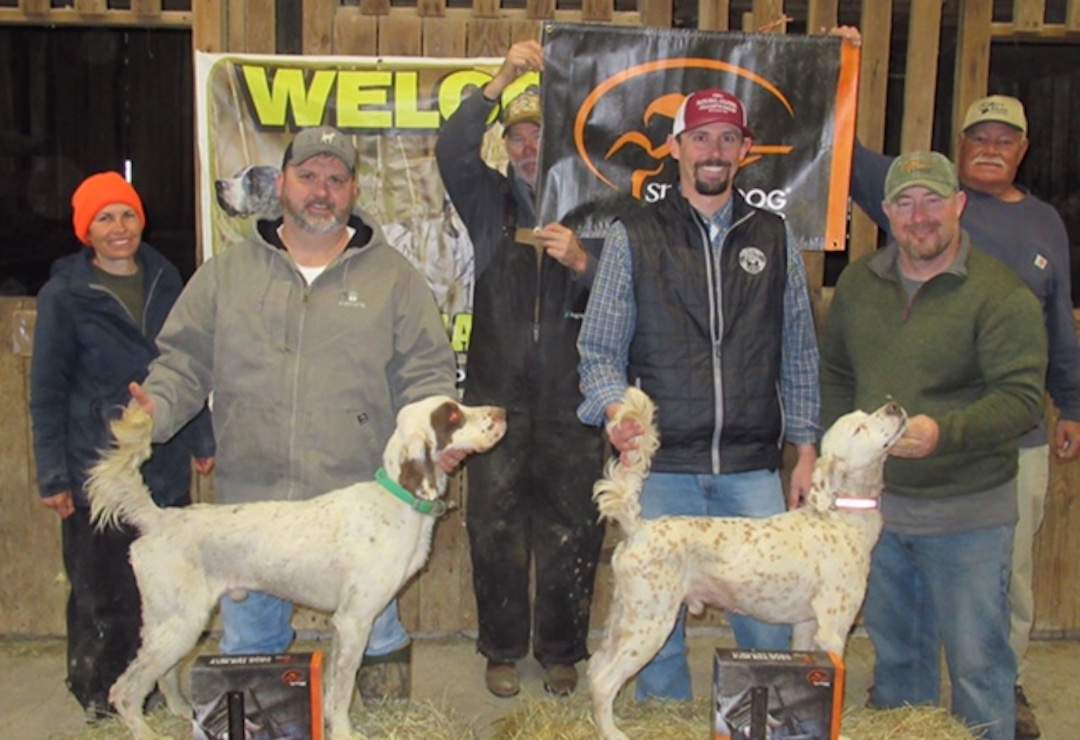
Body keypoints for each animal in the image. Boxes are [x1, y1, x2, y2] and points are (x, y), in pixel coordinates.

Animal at [587, 386, 907, 738]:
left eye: (866, 415)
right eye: (859, 428)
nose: (894, 406)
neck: (839, 516)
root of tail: (639, 527)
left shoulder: (808, 624)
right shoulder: (834, 626)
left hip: (625, 617)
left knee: (596, 666)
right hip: (651, 623)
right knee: (604, 681)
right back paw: (612, 731)